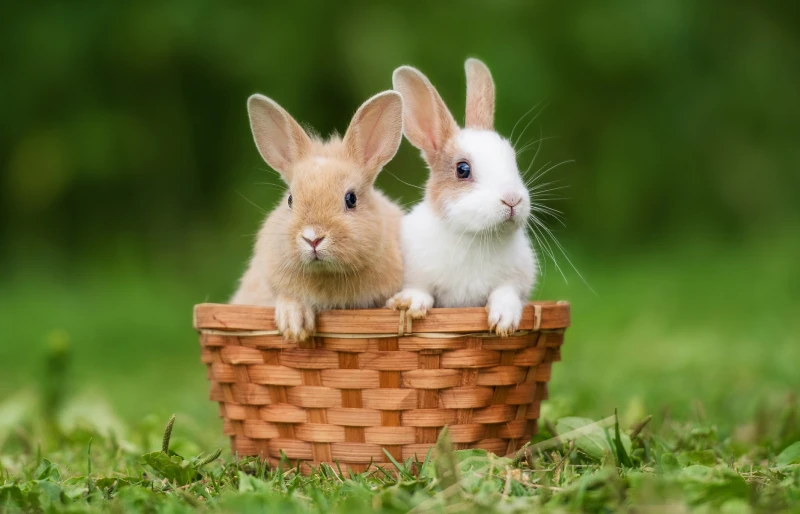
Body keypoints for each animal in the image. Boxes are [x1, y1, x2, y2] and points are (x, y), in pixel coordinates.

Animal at [386, 58, 537, 336]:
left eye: (513, 160)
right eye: (463, 169)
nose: (512, 199)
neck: (476, 236)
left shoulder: (516, 279)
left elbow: (506, 292)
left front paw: (504, 321)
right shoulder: (415, 273)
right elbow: (421, 290)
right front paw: (409, 304)